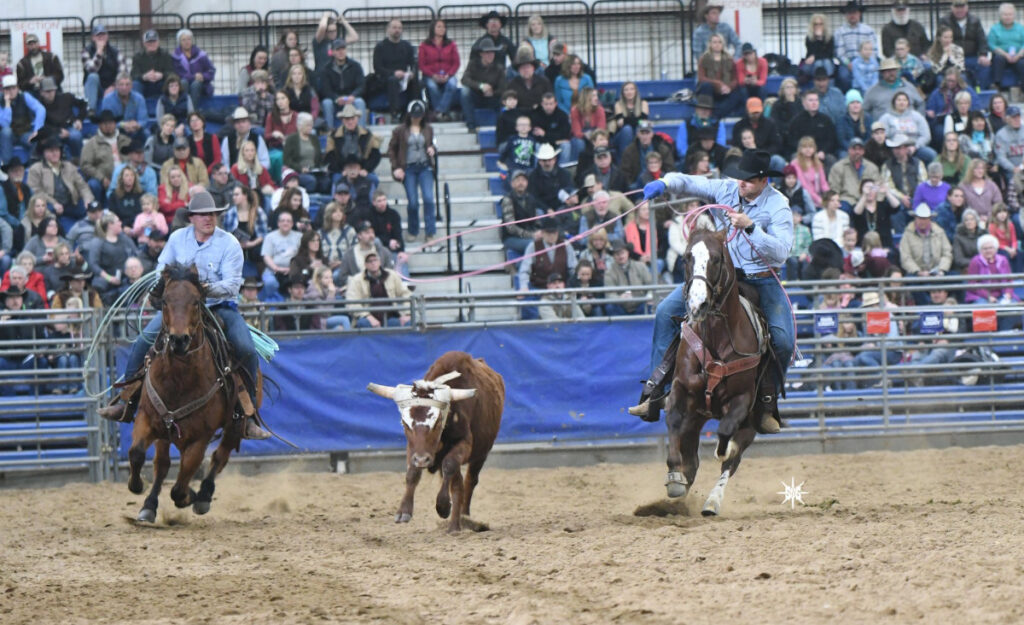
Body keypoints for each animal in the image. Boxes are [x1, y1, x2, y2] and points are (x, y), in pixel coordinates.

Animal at [126, 262, 262, 520]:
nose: (179, 340)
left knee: (220, 457)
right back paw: (149, 505)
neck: (179, 380)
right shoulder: (147, 418)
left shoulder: (200, 437)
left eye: (196, 302)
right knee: (163, 465)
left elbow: (180, 488)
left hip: (235, 425)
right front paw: (137, 487)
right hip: (166, 432)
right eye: (165, 300)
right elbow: (137, 453)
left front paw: (192, 496)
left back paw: (204, 496)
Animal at [659, 214, 770, 516]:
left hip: (751, 422)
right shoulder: (681, 387)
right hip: (695, 416)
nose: (697, 304)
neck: (718, 336)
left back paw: (712, 501)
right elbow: (672, 420)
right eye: (687, 257)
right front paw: (674, 476)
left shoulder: (743, 399)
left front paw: (723, 450)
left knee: (732, 460)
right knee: (692, 455)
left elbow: (725, 434)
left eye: (717, 258)